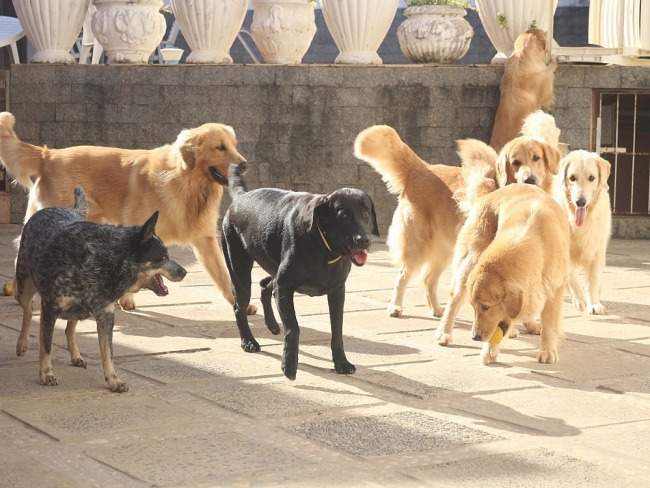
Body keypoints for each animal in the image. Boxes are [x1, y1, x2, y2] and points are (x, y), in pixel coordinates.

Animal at [0, 110, 256, 312]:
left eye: (234, 146)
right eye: (220, 147)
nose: (245, 165)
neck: (186, 183)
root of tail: (48, 155)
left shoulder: (205, 240)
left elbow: (224, 275)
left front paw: (239, 304)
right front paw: (126, 299)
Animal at [15, 188, 186, 392]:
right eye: (163, 257)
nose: (184, 272)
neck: (105, 261)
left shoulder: (106, 316)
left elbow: (107, 352)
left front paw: (113, 380)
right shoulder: (50, 309)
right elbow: (46, 346)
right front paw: (46, 374)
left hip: (76, 308)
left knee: (70, 328)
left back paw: (75, 355)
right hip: (23, 287)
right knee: (28, 311)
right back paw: (22, 344)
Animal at [221, 162, 378, 380]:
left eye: (366, 212)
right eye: (344, 214)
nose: (364, 240)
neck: (324, 247)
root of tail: (241, 196)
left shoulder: (337, 291)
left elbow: (337, 330)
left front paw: (341, 362)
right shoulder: (285, 287)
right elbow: (293, 328)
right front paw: (289, 364)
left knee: (265, 284)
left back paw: (272, 324)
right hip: (240, 273)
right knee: (240, 307)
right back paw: (248, 341)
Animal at [446, 183, 568, 362]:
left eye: (486, 307)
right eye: (473, 306)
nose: (475, 337)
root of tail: (485, 197)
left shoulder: (555, 289)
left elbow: (549, 325)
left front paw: (547, 350)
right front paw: (489, 350)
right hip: (469, 263)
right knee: (454, 299)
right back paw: (444, 334)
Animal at [552, 149, 608, 314]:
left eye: (591, 178)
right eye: (572, 178)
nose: (580, 202)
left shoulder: (598, 250)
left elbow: (593, 281)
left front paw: (594, 303)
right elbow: (572, 278)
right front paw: (579, 299)